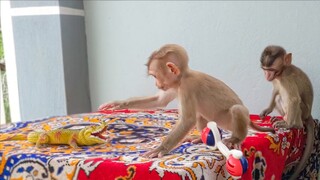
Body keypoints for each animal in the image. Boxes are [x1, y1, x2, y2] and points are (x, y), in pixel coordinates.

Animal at [99, 44, 272, 158]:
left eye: (155, 76)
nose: (156, 84)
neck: (182, 77)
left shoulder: (186, 88)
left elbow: (187, 119)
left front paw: (161, 148)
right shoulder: (174, 87)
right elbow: (158, 101)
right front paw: (119, 103)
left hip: (229, 120)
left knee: (236, 109)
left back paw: (236, 138)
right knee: (201, 116)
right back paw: (200, 138)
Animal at [258, 45, 314, 180]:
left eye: (271, 69)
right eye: (265, 69)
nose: (267, 75)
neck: (281, 72)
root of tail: (309, 115)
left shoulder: (286, 78)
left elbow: (293, 99)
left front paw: (289, 125)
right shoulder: (277, 79)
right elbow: (276, 90)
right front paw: (268, 109)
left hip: (303, 113)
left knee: (293, 101)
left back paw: (294, 124)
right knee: (279, 96)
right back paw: (282, 118)